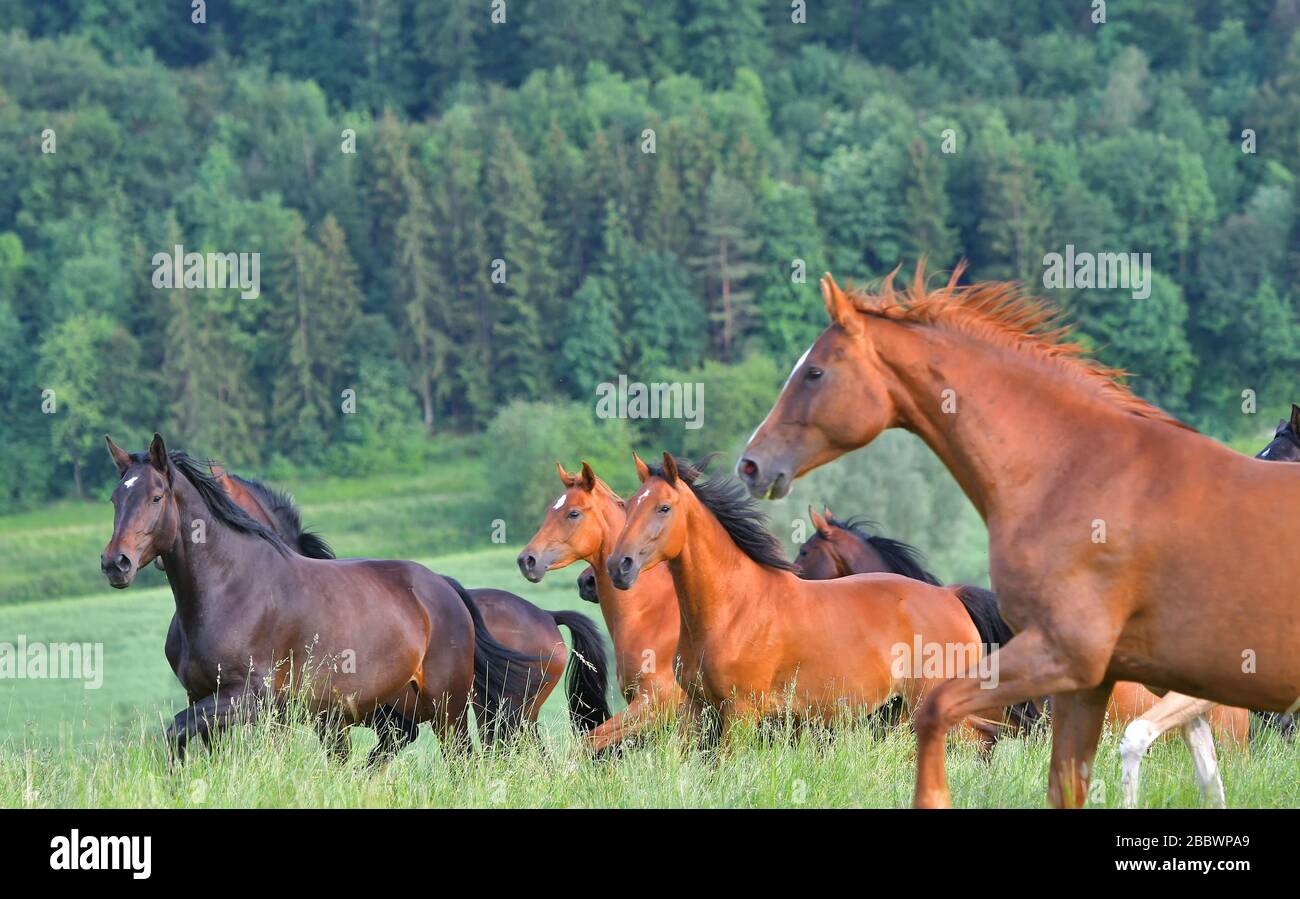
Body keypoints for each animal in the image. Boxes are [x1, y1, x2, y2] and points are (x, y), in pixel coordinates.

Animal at [101, 433, 538, 764]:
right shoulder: (204, 695)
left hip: (449, 708)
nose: (115, 563)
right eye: (114, 499)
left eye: (156, 497)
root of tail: (445, 588)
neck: (231, 589)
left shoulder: (253, 700)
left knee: (462, 762)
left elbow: (178, 730)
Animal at [518, 462, 685, 752]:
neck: (653, 615)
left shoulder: (655, 707)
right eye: (550, 509)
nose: (527, 560)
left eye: (573, 513)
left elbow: (589, 741)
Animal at [605, 452, 1009, 748]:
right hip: (898, 712)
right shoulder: (699, 710)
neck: (732, 609)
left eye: (664, 508)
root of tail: (952, 598)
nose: (618, 565)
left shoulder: (740, 713)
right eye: (628, 505)